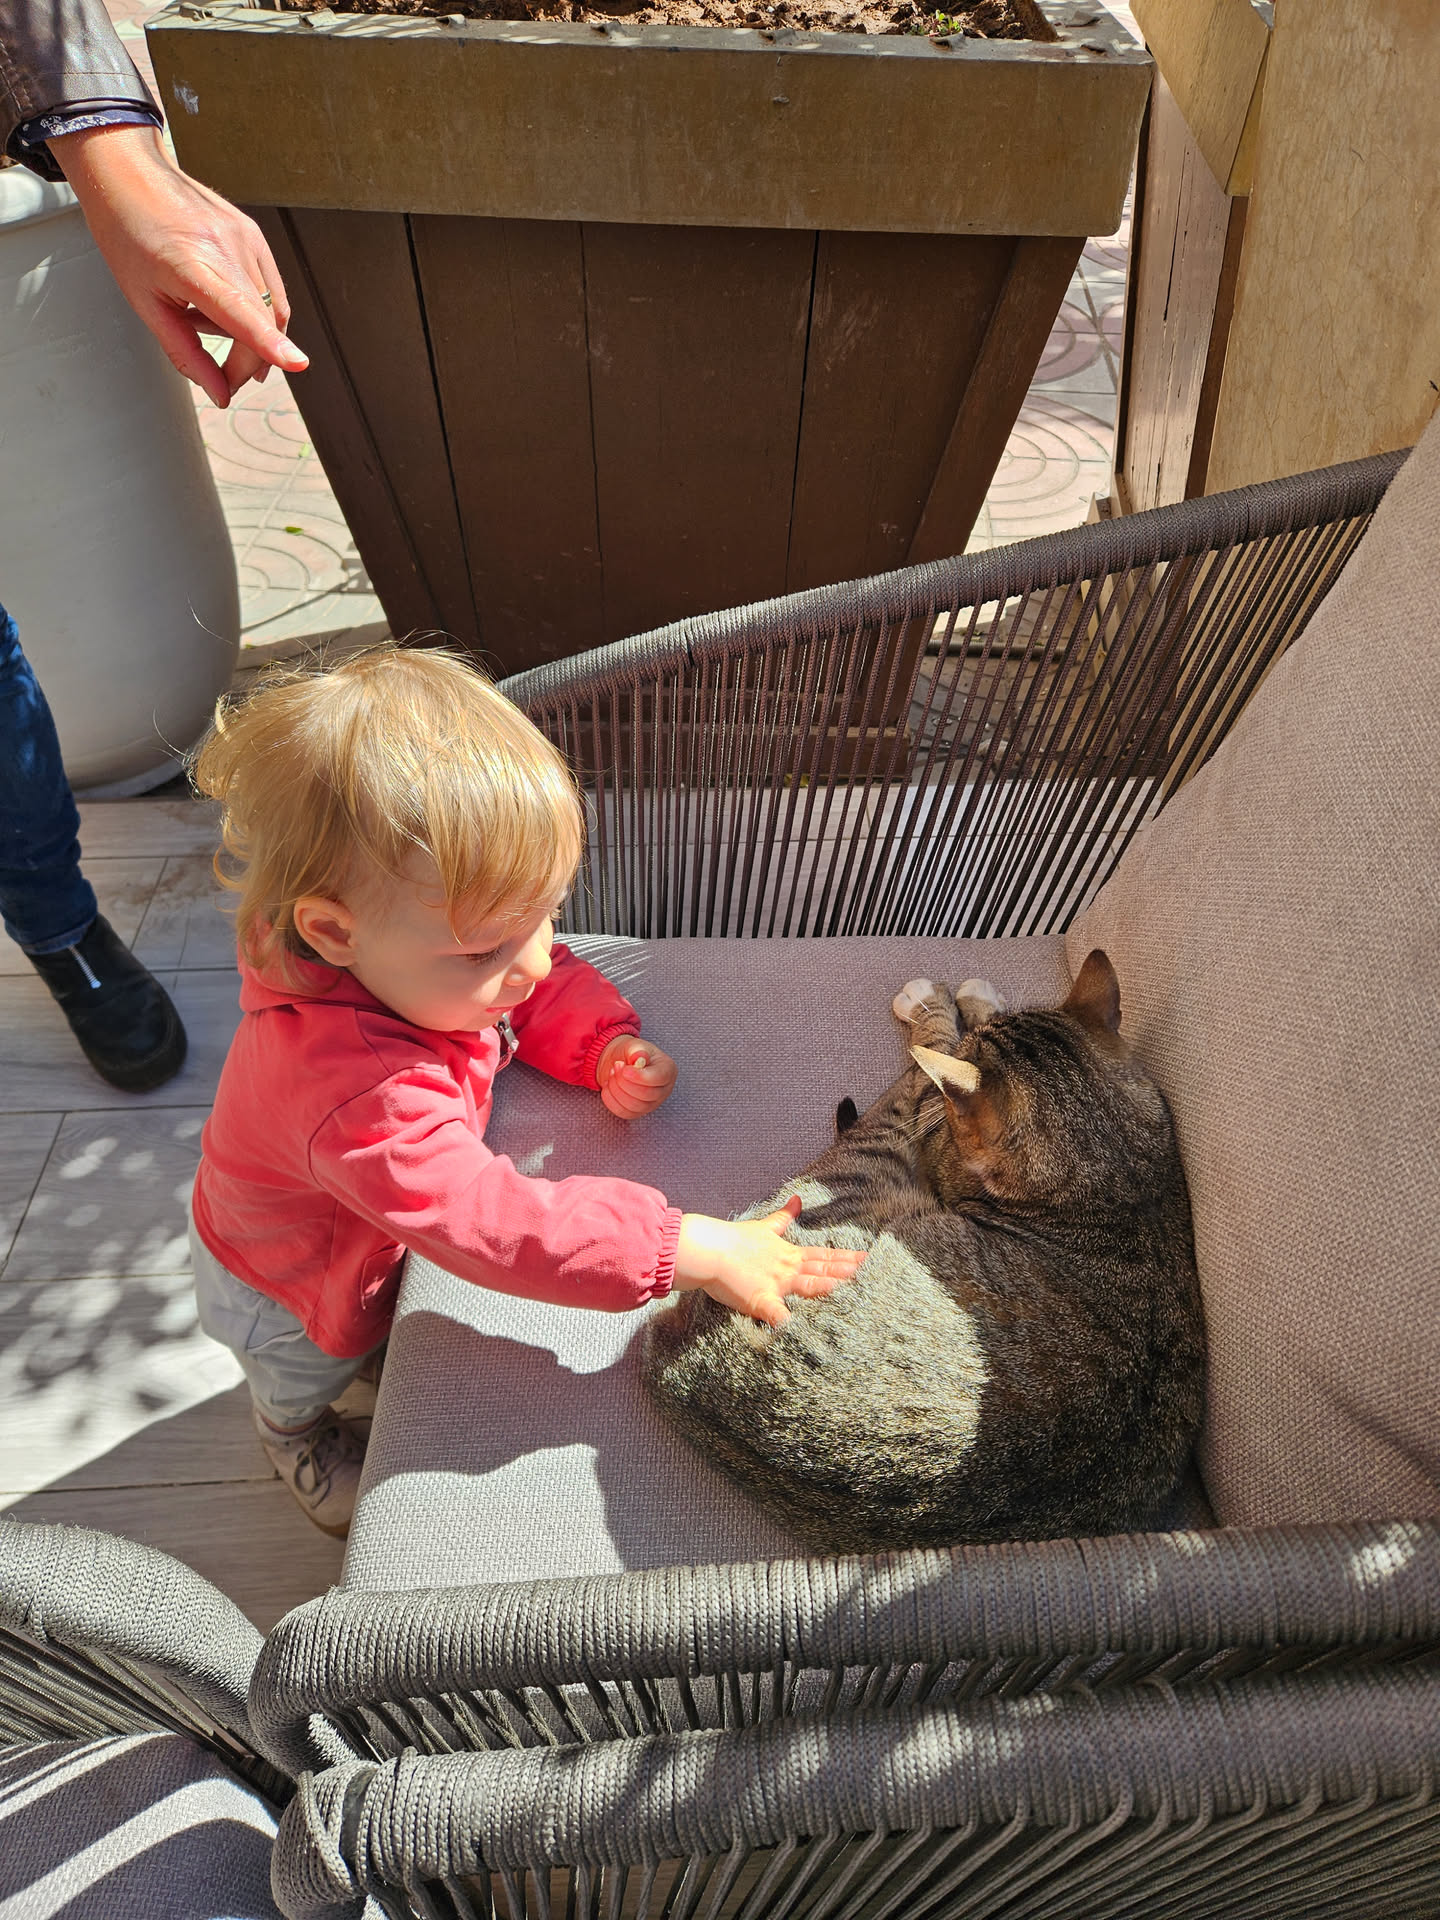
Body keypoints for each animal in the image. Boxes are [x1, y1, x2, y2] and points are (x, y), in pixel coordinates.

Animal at [642, 951, 1205, 1553]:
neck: (1122, 1178)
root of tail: (679, 1375)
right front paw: (977, 1004)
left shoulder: (936, 1138)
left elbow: (938, 1057)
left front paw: (948, 1007)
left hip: (857, 1173)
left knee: (890, 1105)